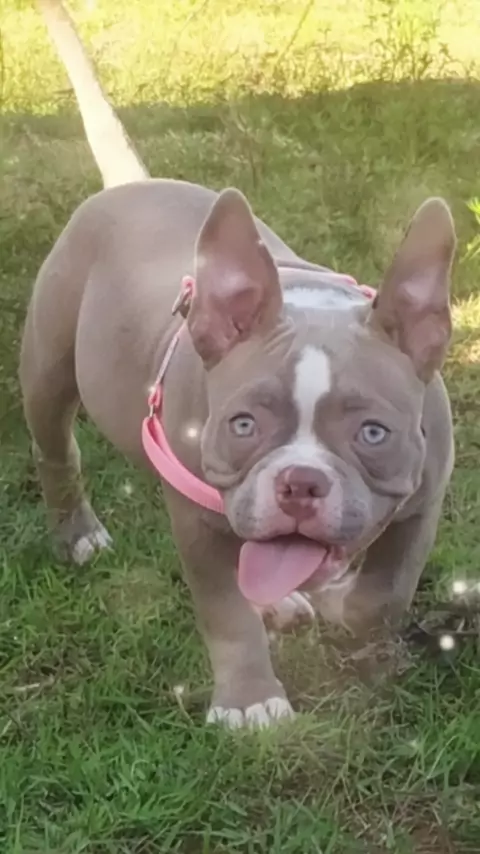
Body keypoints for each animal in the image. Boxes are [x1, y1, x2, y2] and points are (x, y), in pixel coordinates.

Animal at [20, 1, 456, 728]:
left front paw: (338, 605)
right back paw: (78, 534)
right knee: (57, 449)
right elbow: (226, 612)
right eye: (243, 424)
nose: (300, 484)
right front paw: (250, 703)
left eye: (373, 434)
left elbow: (384, 593)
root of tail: (132, 186)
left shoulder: (422, 499)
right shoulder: (198, 519)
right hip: (49, 363)